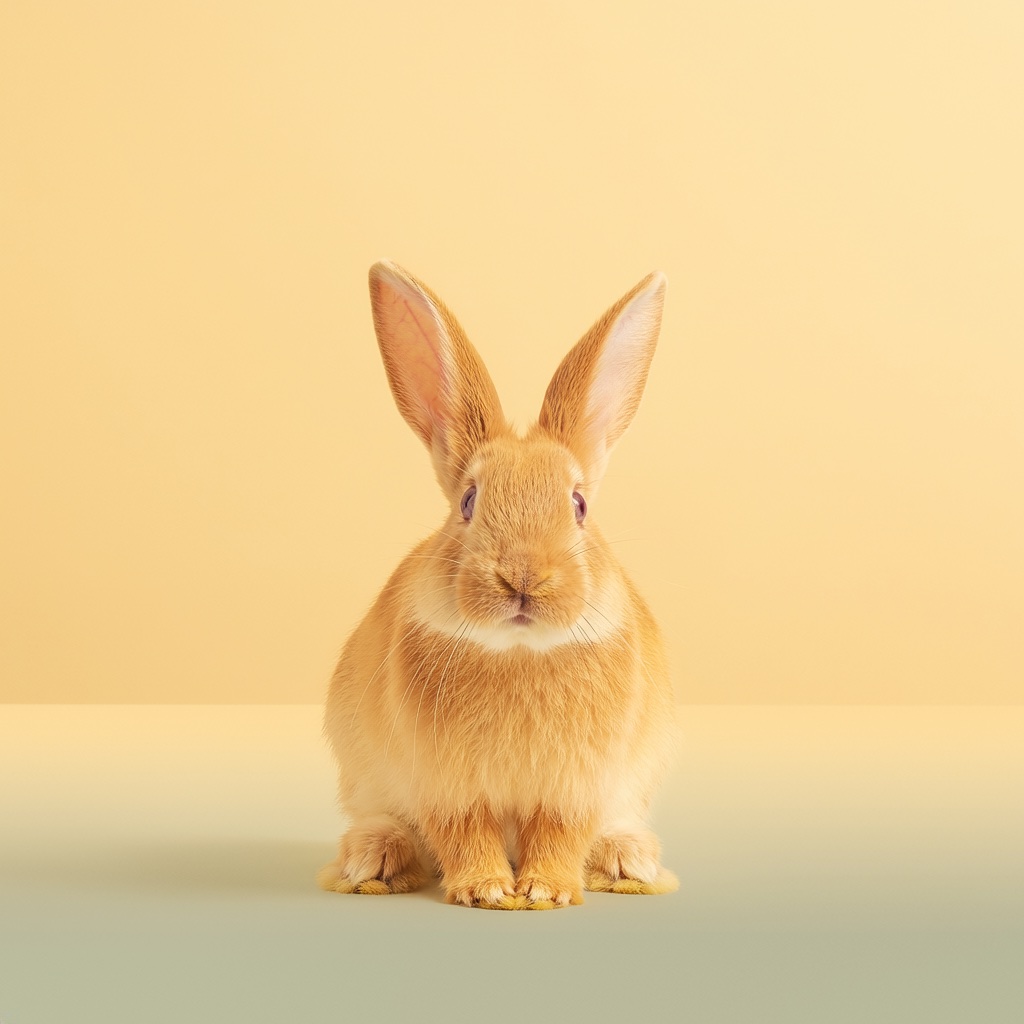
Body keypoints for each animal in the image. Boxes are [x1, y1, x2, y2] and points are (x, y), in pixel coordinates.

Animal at [317, 260, 679, 909]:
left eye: (579, 505)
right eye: (468, 502)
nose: (522, 577)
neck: (519, 650)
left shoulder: (576, 788)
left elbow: (560, 834)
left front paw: (543, 892)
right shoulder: (447, 786)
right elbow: (464, 833)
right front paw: (486, 890)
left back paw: (628, 862)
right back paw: (373, 861)